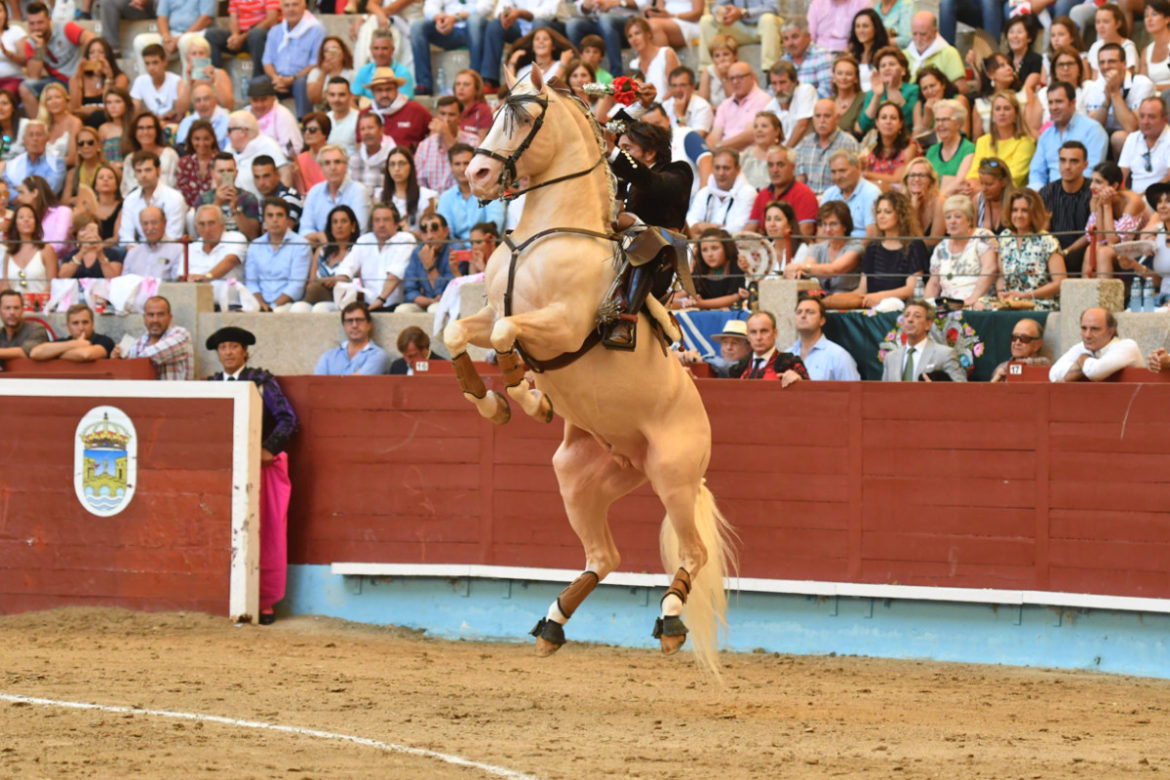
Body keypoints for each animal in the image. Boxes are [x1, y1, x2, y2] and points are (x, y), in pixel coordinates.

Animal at [444, 70, 730, 673]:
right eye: (496, 113)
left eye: (525, 118)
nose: (476, 174)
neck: (549, 232)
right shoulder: (496, 311)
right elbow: (459, 334)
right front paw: (494, 403)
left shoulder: (561, 325)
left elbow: (505, 339)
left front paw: (530, 397)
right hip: (579, 476)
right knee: (605, 554)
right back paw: (552, 624)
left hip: (672, 473)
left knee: (691, 551)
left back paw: (670, 620)